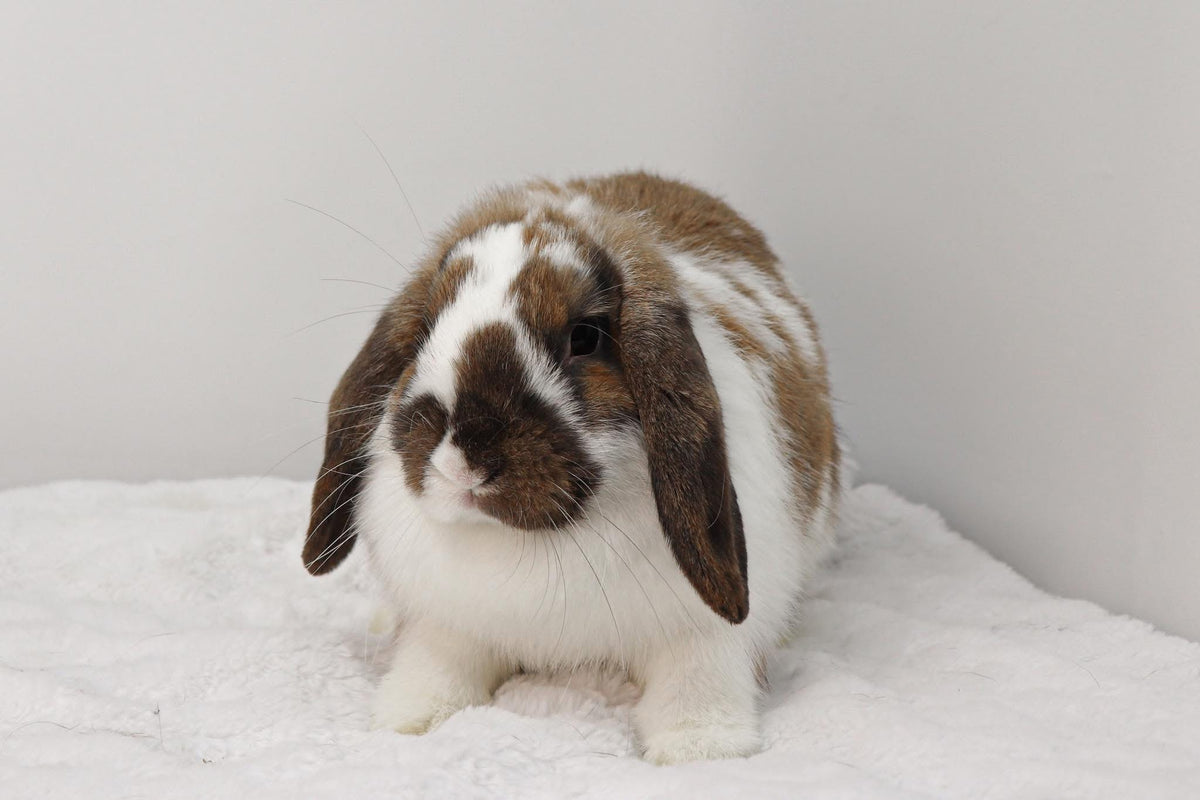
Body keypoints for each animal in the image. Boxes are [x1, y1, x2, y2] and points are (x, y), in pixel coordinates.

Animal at [302, 172, 841, 764]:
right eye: (424, 330)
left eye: (585, 337)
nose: (463, 460)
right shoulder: (449, 622)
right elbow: (436, 663)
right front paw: (410, 719)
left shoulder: (705, 634)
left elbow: (698, 678)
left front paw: (699, 747)